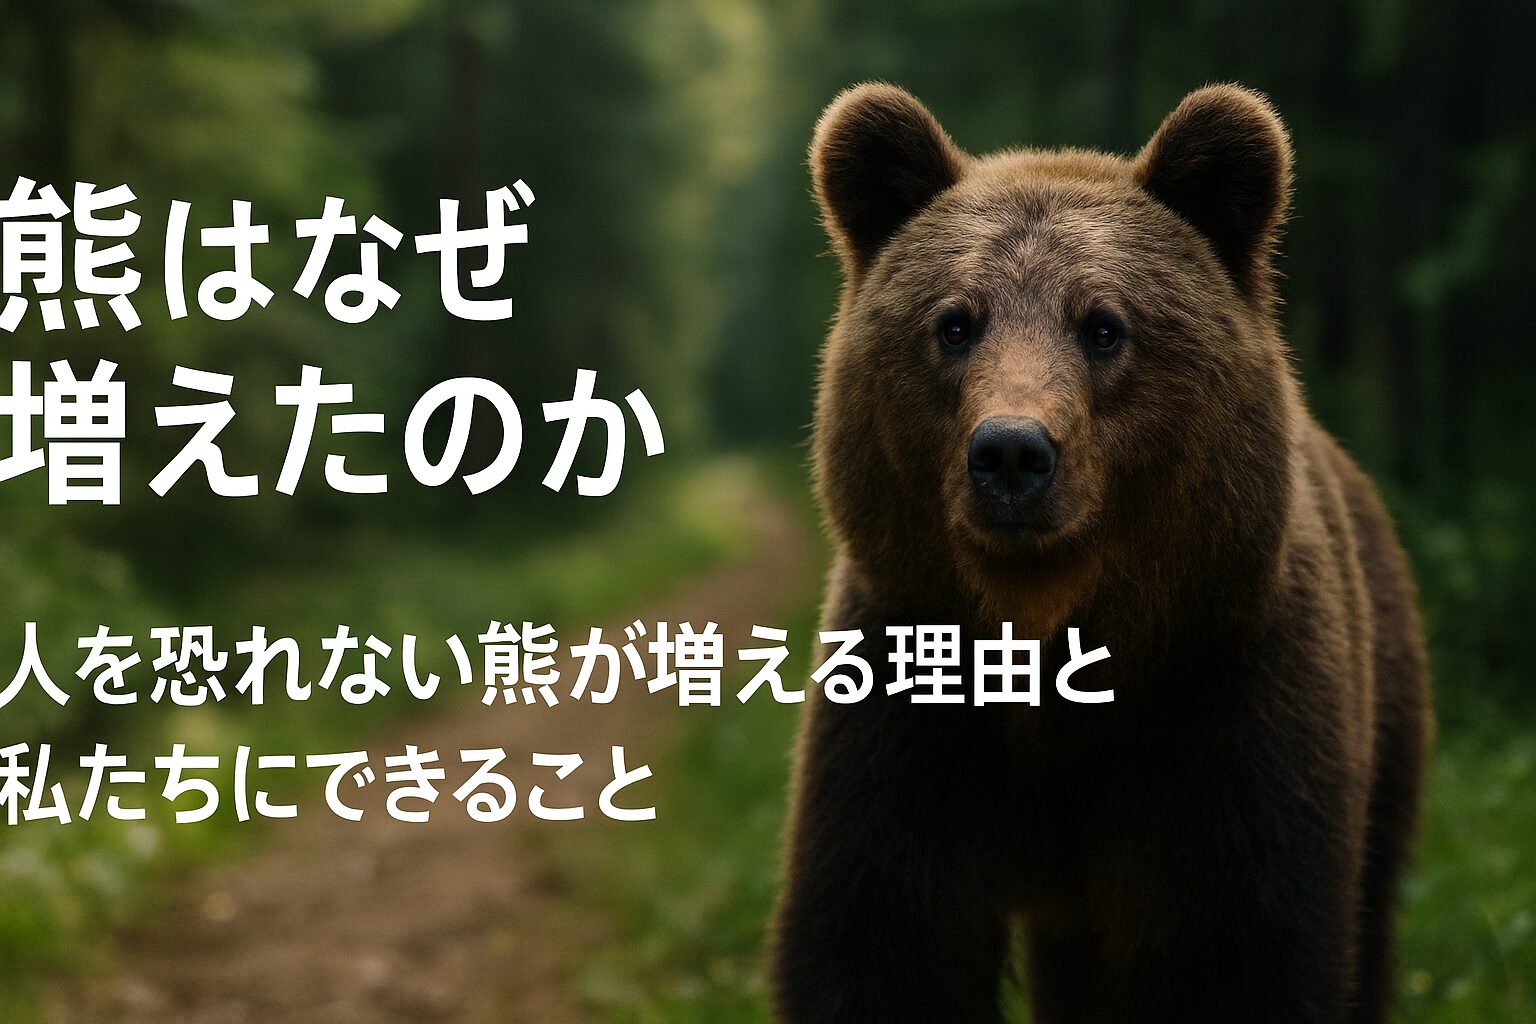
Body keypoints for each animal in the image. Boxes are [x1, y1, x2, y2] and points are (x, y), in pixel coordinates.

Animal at [770, 83, 1429, 1024]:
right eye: (956, 323)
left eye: (1104, 326)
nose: (1011, 452)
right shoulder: (910, 709)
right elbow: (885, 942)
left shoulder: (1228, 702)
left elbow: (1249, 945)